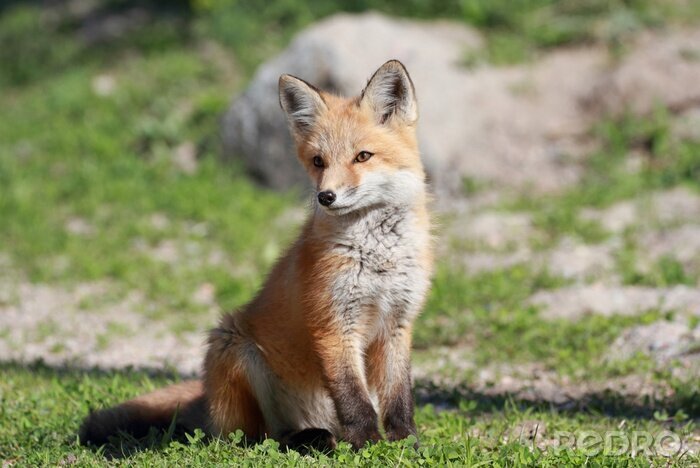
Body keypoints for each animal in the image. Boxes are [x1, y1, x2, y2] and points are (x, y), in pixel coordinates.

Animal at [79, 60, 433, 452]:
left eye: (363, 156)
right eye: (318, 161)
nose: (325, 196)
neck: (377, 257)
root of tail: (207, 401)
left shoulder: (398, 323)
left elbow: (400, 399)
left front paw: (407, 444)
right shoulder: (334, 325)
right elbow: (353, 399)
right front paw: (368, 445)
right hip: (233, 345)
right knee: (254, 437)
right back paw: (308, 439)